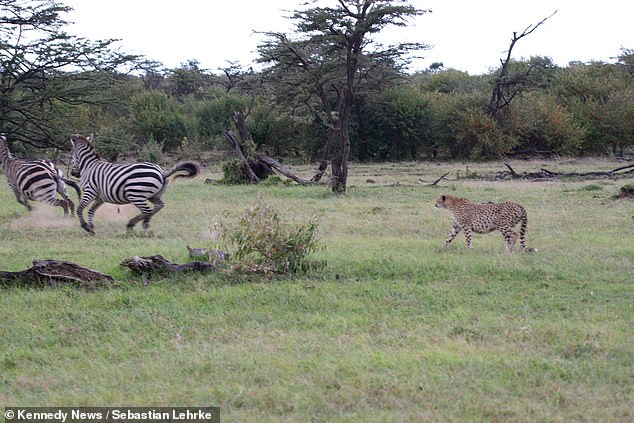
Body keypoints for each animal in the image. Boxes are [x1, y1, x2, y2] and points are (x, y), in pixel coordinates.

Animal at [69, 133, 199, 235]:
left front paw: (85, 226)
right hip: (154, 195)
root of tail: (162, 172)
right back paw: (140, 223)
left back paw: (135, 224)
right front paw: (91, 228)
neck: (89, 166)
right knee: (159, 206)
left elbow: (79, 209)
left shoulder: (89, 191)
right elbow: (91, 211)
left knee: (147, 210)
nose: (74, 173)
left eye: (71, 155)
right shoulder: (100, 197)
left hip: (136, 194)